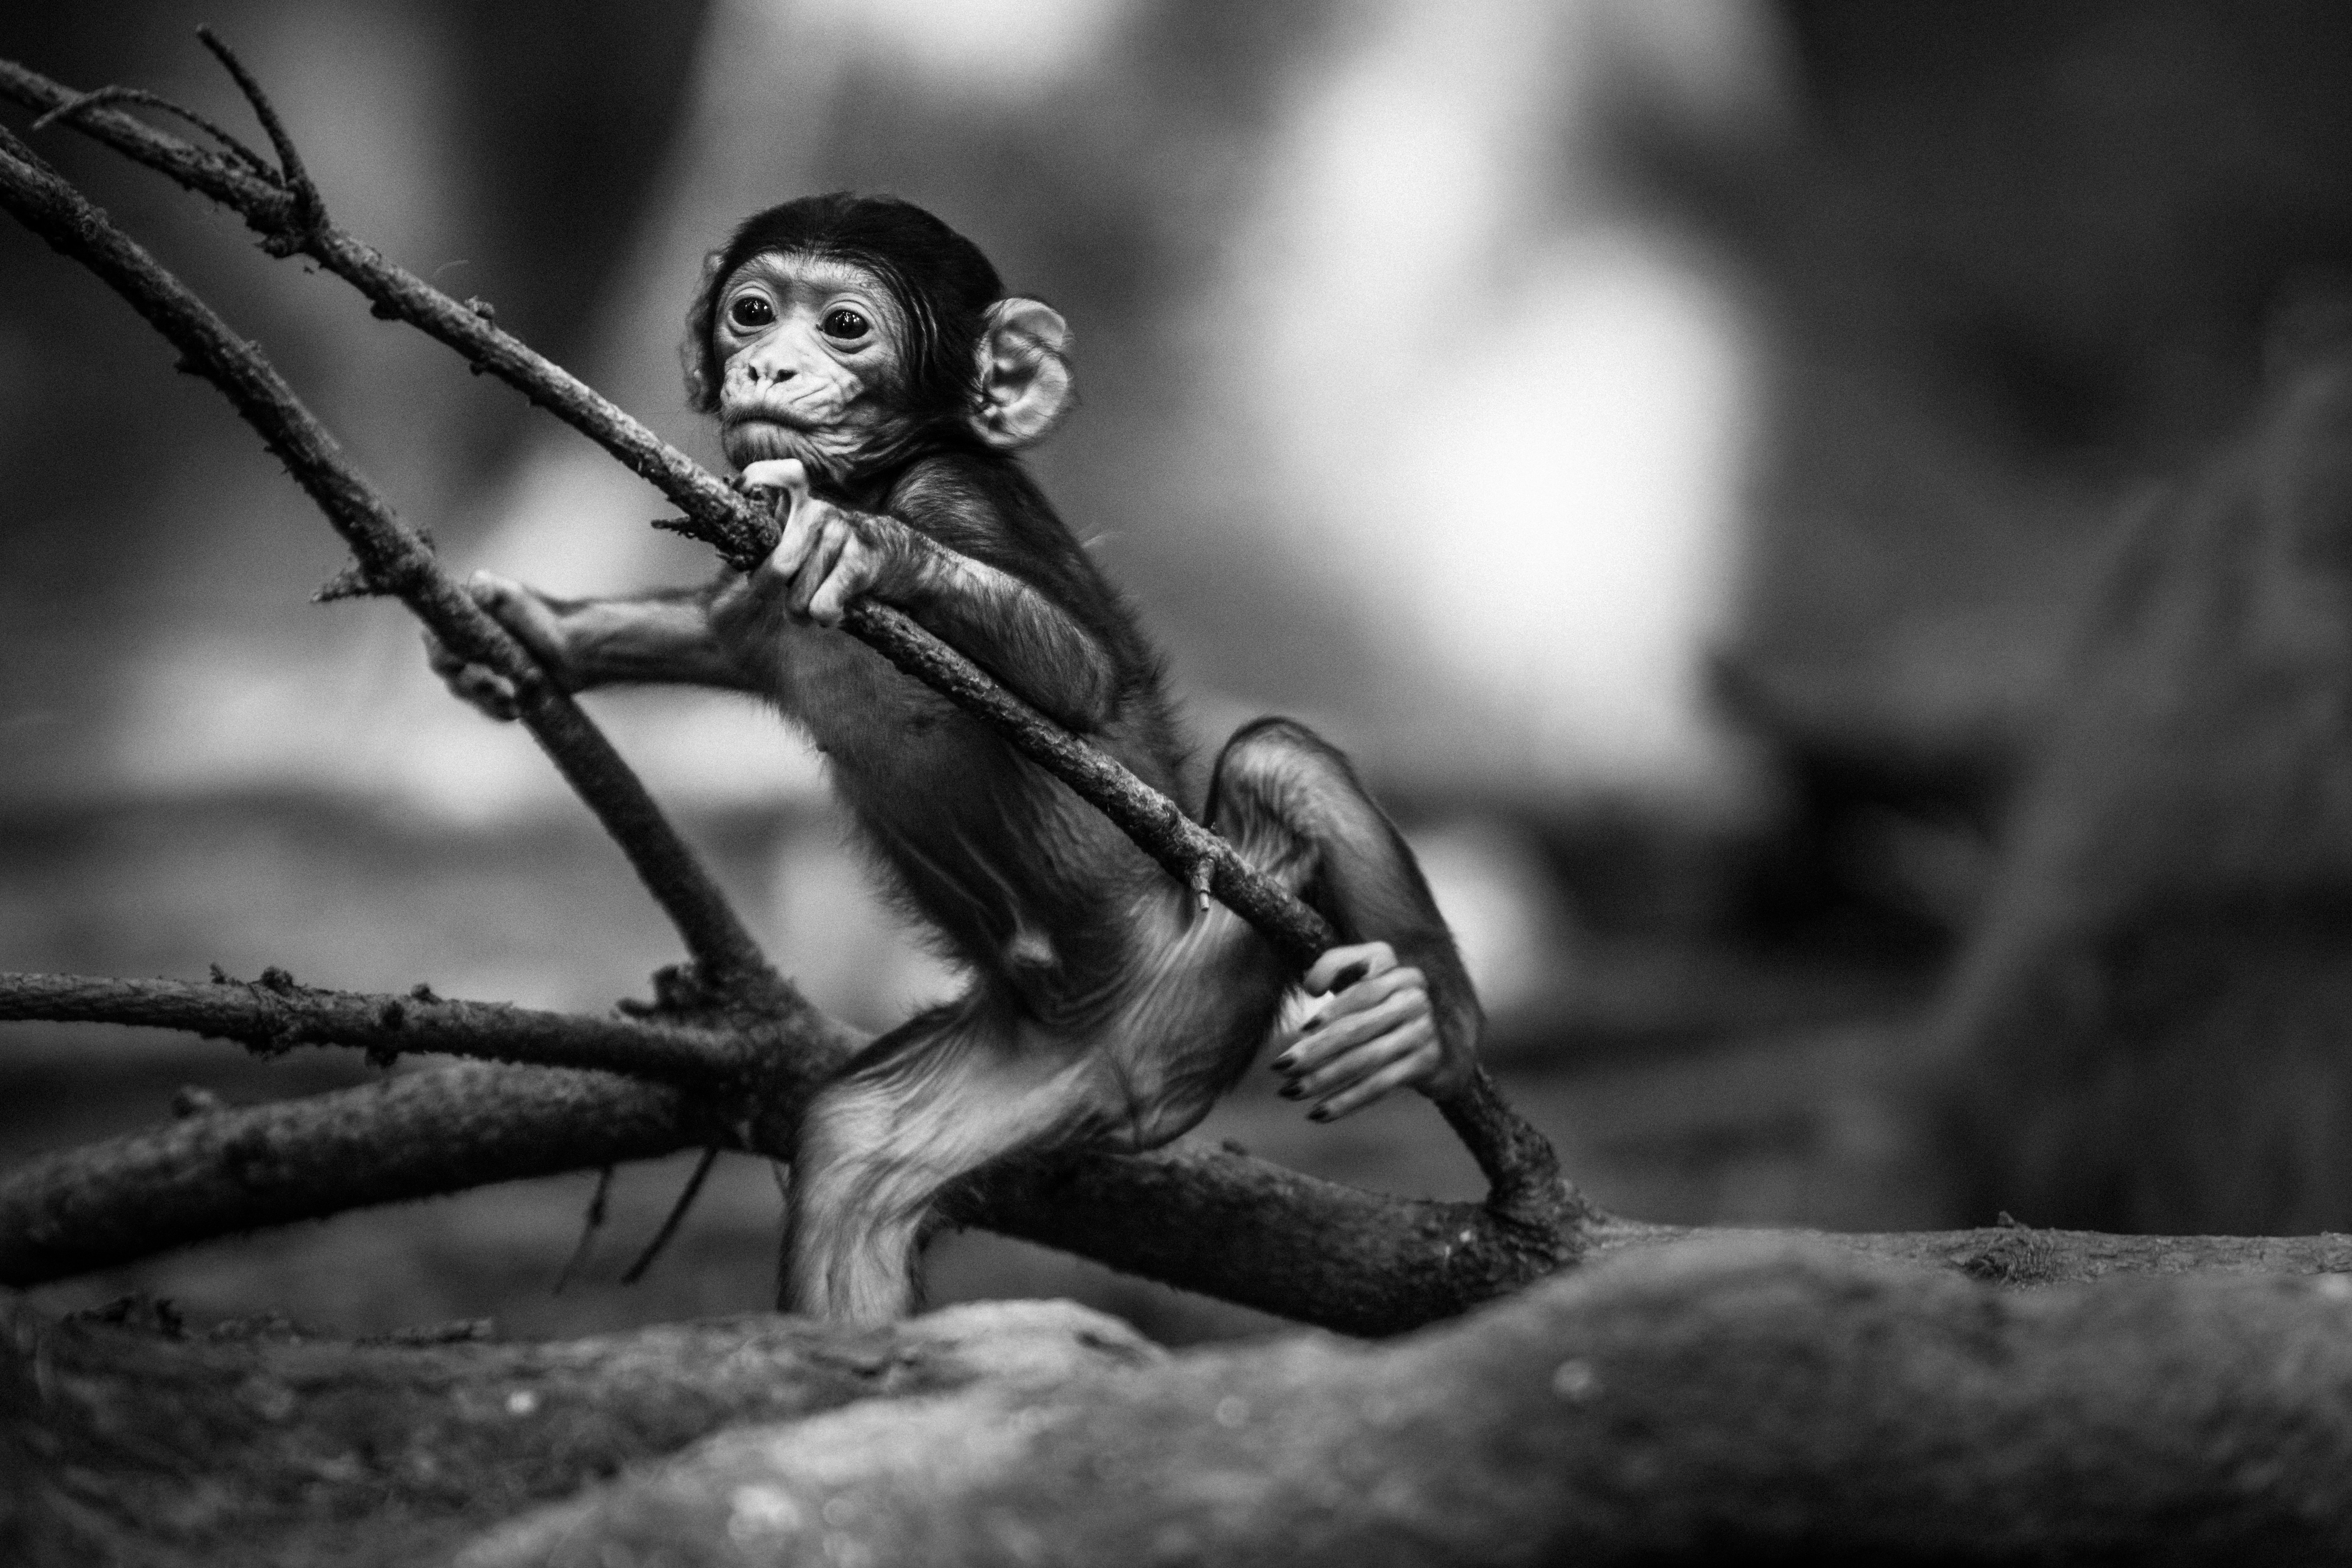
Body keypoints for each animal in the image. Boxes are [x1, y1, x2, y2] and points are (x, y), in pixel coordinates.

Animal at [427, 193, 1480, 1323]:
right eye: (753, 311)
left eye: (846, 327)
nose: (769, 367)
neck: (876, 470)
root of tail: (1146, 1082)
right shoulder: (753, 567)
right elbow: (707, 630)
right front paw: (529, 628)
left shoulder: (959, 496)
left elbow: (1076, 673)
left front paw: (863, 545)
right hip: (1015, 1078)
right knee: (850, 1164)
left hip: (1215, 956)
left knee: (1277, 758)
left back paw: (1428, 1018)